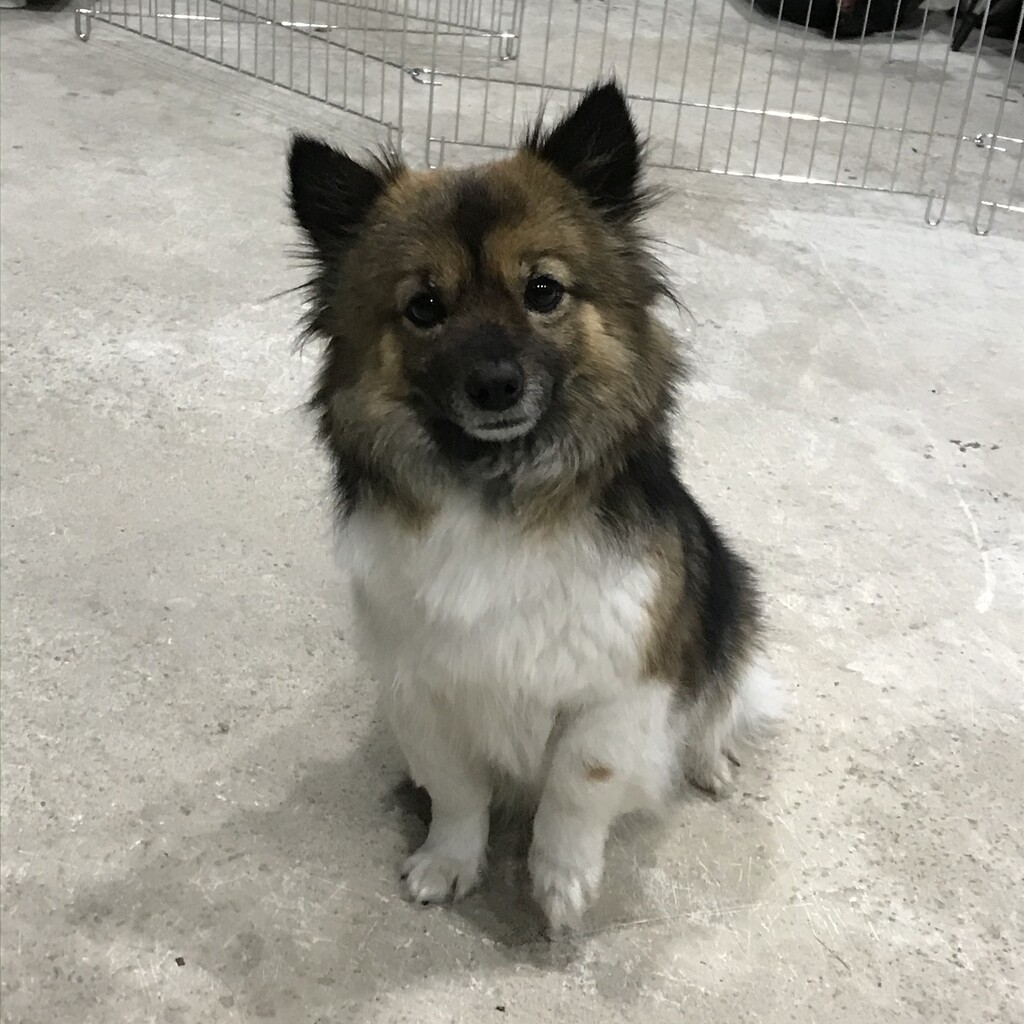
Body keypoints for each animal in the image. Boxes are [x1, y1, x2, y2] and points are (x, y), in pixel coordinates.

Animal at [287, 81, 778, 934]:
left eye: (543, 291)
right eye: (424, 307)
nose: (494, 384)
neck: (500, 488)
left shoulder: (618, 689)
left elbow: (578, 787)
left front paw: (560, 881)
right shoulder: (425, 690)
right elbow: (456, 791)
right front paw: (448, 863)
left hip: (732, 600)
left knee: (720, 701)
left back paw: (711, 762)